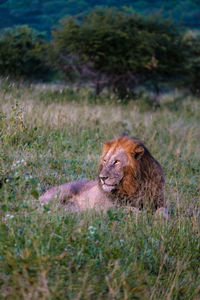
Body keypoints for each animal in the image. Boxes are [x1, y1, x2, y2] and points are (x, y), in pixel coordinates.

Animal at [38, 135, 166, 216]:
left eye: (116, 162)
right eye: (105, 161)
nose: (102, 178)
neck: (134, 185)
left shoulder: (160, 202)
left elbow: (163, 212)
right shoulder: (112, 207)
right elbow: (133, 210)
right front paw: (145, 215)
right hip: (60, 193)